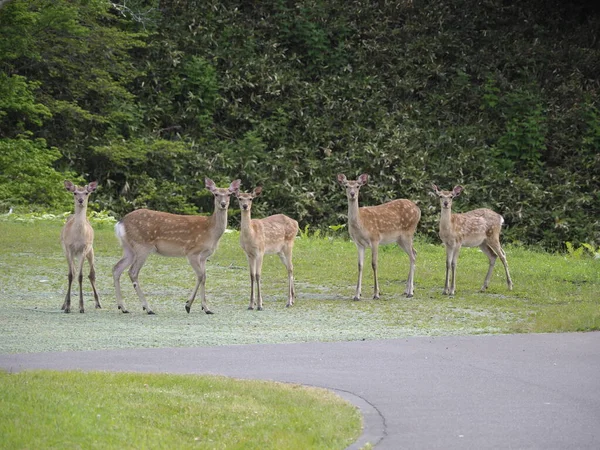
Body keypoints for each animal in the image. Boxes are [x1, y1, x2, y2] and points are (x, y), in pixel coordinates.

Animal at [60, 179, 101, 312]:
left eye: (87, 193)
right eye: (75, 193)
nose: (81, 200)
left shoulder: (83, 249)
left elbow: (81, 276)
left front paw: (82, 307)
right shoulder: (69, 249)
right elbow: (70, 275)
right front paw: (67, 307)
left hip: (91, 250)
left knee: (91, 274)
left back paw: (98, 303)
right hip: (66, 251)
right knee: (73, 271)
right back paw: (63, 305)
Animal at [113, 178, 240, 314]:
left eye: (229, 194)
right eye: (216, 194)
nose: (223, 204)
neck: (210, 231)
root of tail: (120, 223)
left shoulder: (204, 256)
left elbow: (204, 277)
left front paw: (206, 308)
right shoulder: (192, 252)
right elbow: (200, 276)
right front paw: (188, 305)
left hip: (129, 248)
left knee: (117, 268)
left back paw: (123, 307)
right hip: (142, 246)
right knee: (132, 272)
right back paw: (148, 308)